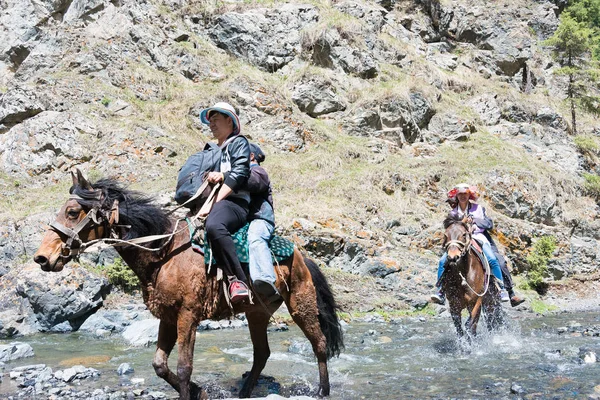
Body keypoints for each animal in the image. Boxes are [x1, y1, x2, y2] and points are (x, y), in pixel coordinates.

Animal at [34, 170, 342, 398]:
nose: (42, 258)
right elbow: (160, 365)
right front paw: (198, 391)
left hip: (300, 305)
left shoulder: (188, 316)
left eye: (72, 212)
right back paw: (244, 392)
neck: (164, 252)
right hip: (257, 313)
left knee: (319, 344)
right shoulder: (168, 317)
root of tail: (301, 256)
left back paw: (322, 391)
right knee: (261, 354)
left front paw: (192, 390)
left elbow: (184, 367)